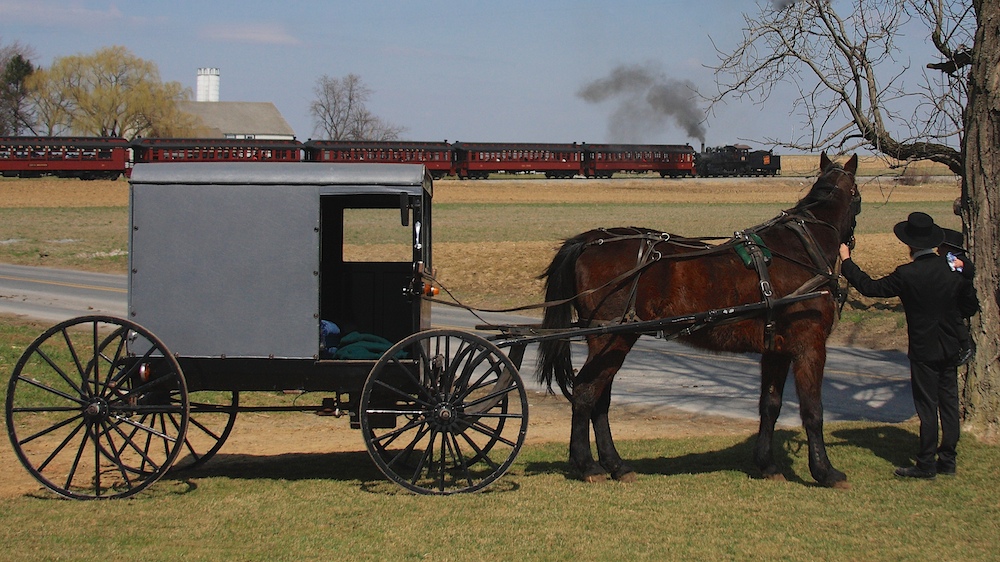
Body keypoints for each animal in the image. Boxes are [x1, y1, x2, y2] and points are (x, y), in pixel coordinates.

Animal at [540, 151, 860, 484]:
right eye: (857, 196)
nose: (849, 242)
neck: (800, 250)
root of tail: (589, 241)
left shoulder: (777, 351)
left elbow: (770, 406)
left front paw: (767, 464)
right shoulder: (809, 345)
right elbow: (813, 411)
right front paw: (825, 471)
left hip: (613, 342)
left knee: (599, 400)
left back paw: (616, 464)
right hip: (611, 339)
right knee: (585, 394)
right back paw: (587, 464)